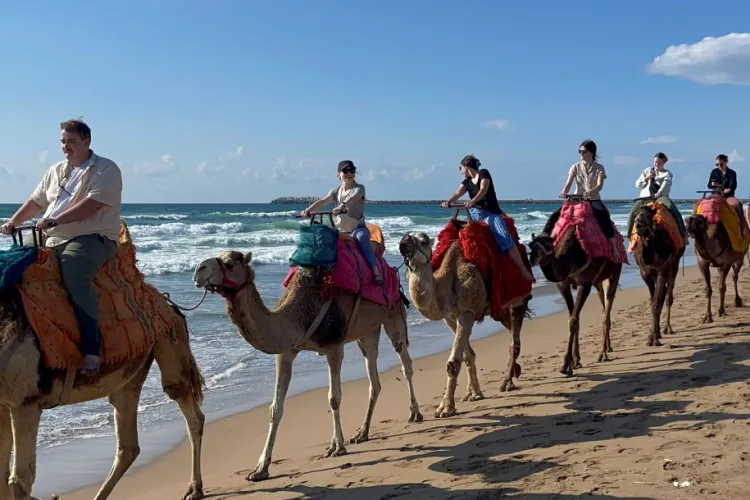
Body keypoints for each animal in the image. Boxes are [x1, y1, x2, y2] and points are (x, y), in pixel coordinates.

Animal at [0, 288, 206, 500]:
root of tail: (170, 305)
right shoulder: (4, 404)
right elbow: (3, 473)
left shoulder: (27, 402)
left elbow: (19, 480)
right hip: (131, 374)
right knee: (128, 443)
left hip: (169, 340)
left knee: (185, 403)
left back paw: (194, 489)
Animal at [192, 250, 422, 482]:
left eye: (229, 264)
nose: (198, 270)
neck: (298, 314)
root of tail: (391, 270)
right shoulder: (285, 351)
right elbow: (276, 407)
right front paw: (260, 468)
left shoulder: (334, 346)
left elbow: (334, 398)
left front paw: (337, 447)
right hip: (367, 331)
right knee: (374, 378)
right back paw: (362, 433)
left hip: (393, 314)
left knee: (405, 362)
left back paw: (415, 414)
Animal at [398, 228, 532, 419]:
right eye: (404, 238)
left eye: (423, 241)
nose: (404, 243)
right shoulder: (450, 316)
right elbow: (468, 355)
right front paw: (474, 393)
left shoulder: (467, 312)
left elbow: (453, 363)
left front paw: (445, 408)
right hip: (500, 311)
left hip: (516, 301)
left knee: (515, 340)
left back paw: (508, 383)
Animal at [528, 203, 622, 376]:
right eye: (530, 245)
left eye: (548, 245)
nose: (532, 259)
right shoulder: (563, 285)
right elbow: (574, 318)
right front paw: (575, 361)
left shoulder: (584, 283)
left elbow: (573, 321)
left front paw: (565, 365)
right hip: (598, 281)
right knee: (603, 305)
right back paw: (607, 347)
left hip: (614, 272)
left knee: (607, 308)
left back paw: (603, 353)